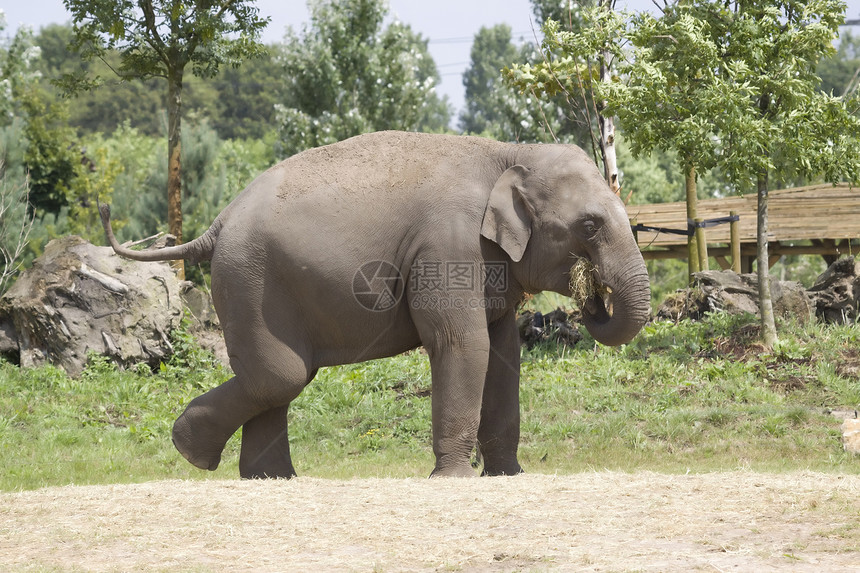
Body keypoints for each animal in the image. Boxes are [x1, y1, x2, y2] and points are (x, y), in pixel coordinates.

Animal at [101, 130, 648, 478]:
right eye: (589, 226)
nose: (594, 298)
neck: (508, 153)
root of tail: (216, 224)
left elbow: (502, 351)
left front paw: (508, 476)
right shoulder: (447, 247)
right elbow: (461, 344)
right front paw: (453, 480)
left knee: (278, 377)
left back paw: (268, 479)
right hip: (249, 280)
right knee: (281, 375)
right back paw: (193, 453)